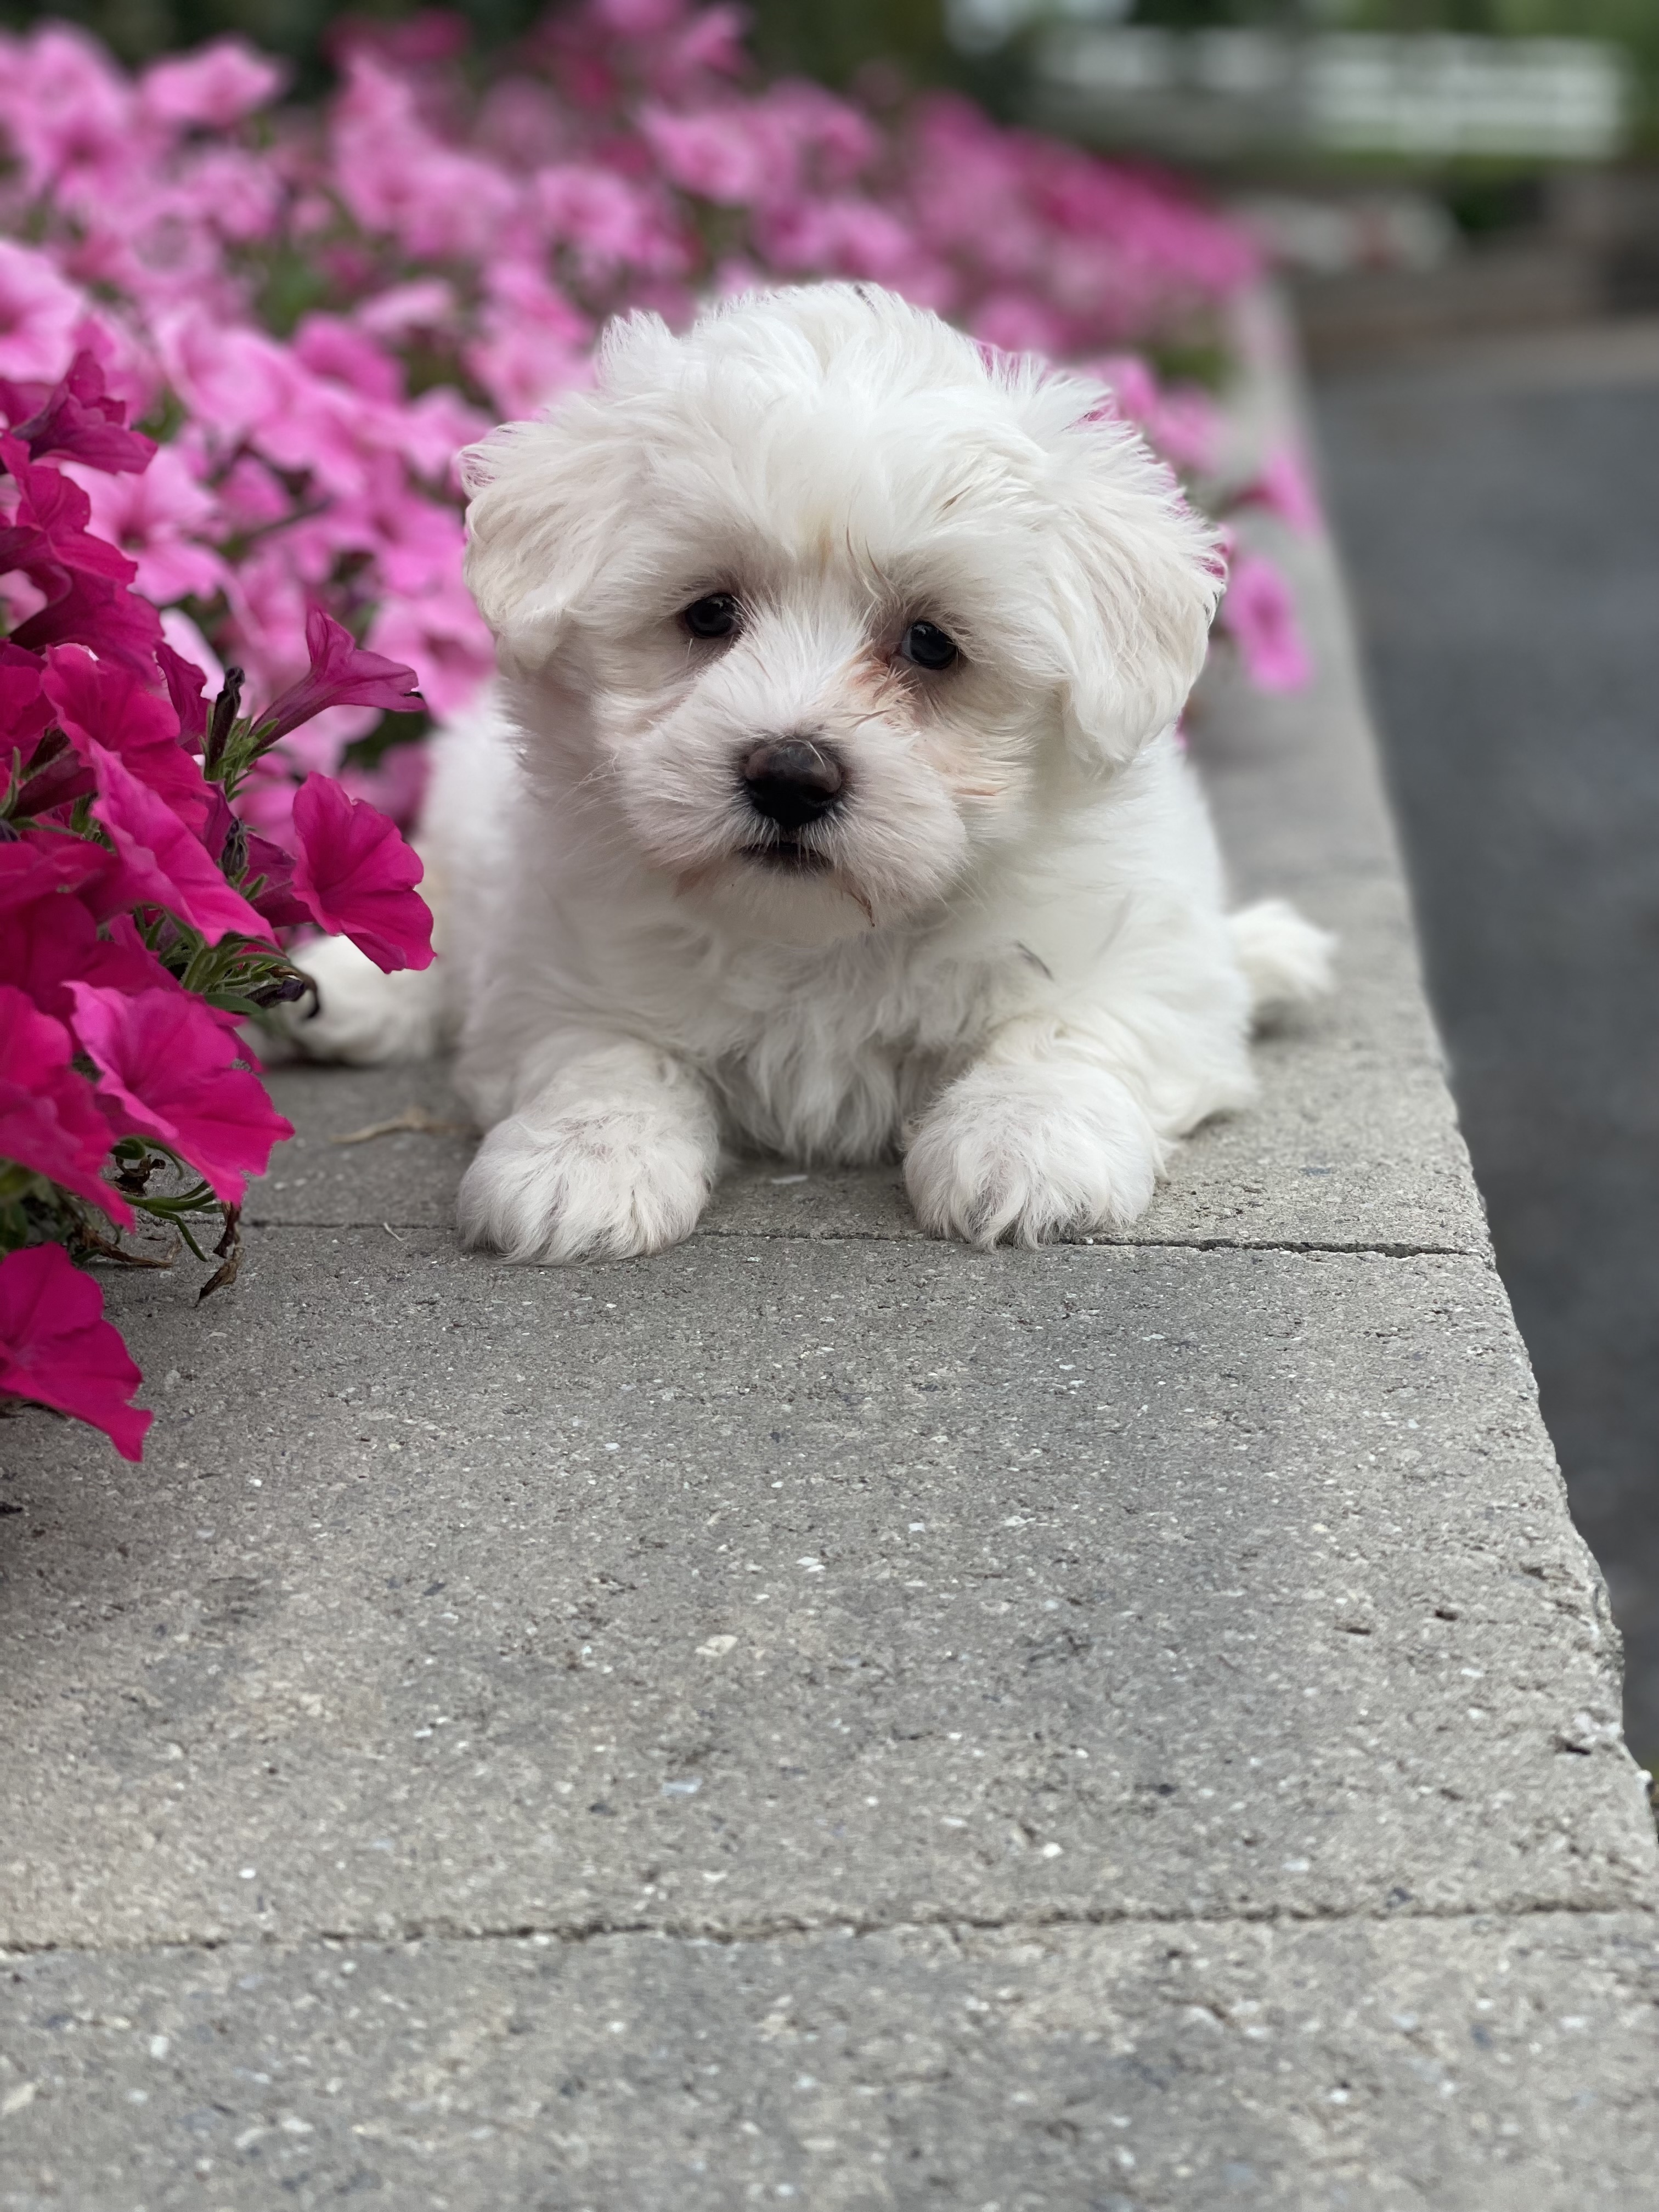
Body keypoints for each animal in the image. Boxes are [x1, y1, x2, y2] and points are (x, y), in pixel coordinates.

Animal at [298, 281, 1336, 1265]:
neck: (823, 936)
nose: (790, 775)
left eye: (931, 643)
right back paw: (353, 992)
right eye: (708, 613)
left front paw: (1024, 1143)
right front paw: (581, 1161)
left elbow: (1069, 1028)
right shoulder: (556, 962)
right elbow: (602, 1050)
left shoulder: (1130, 957)